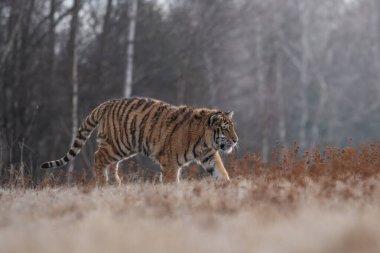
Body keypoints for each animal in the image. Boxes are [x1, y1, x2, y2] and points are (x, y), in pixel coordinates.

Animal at [40, 97, 238, 186]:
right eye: (225, 128)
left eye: (232, 127)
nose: (236, 141)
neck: (204, 141)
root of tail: (106, 103)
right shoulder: (170, 161)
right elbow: (171, 181)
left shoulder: (209, 156)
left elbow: (221, 173)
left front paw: (229, 188)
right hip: (118, 144)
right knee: (98, 157)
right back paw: (102, 182)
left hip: (123, 147)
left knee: (111, 162)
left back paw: (116, 182)